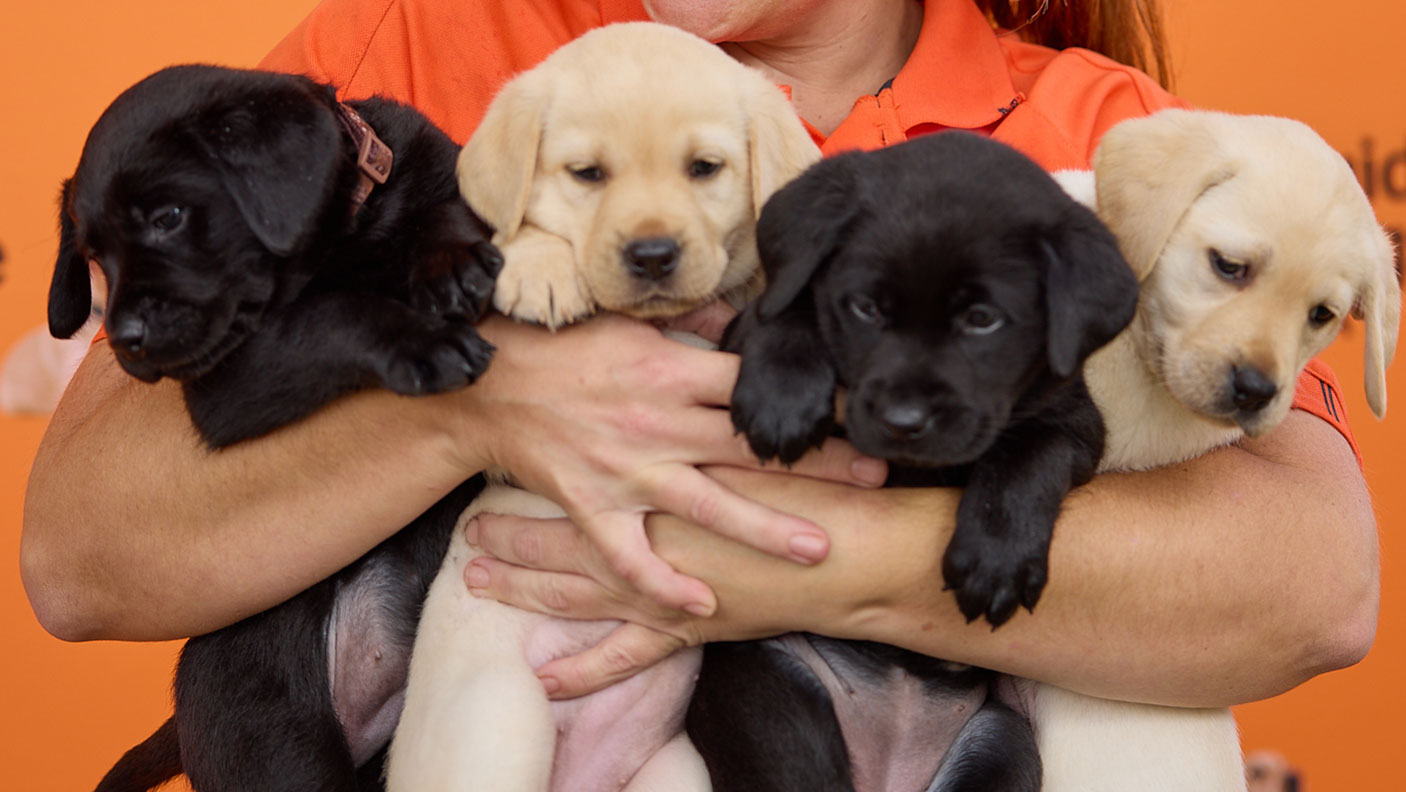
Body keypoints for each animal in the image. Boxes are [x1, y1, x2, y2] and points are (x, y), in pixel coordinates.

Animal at [48, 66, 500, 792]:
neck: (345, 242)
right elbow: (336, 312)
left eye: (169, 218)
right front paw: (418, 341)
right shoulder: (228, 383)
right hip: (275, 731)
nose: (123, 342)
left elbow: (447, 211)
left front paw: (452, 259)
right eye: (95, 259)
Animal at [388, 23, 821, 792]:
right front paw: (542, 269)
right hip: (501, 722)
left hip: (674, 770)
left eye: (704, 168)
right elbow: (516, 232)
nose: (652, 254)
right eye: (587, 174)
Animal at [686, 132, 1136, 792]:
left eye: (982, 320)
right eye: (866, 307)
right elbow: (791, 306)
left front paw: (996, 559)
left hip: (999, 744)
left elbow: (1028, 457)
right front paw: (783, 394)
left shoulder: (1074, 421)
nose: (903, 420)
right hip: (764, 694)